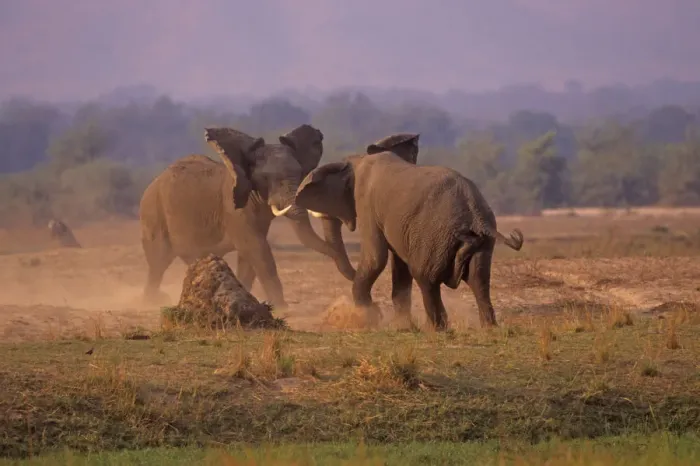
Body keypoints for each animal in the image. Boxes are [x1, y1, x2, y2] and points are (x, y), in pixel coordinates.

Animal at [138, 124, 356, 308]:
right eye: (266, 178)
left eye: (300, 172)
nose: (355, 275)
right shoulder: (235, 209)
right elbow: (256, 248)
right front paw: (281, 307)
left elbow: (249, 255)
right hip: (153, 213)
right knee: (158, 261)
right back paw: (152, 301)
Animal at [294, 150, 524, 330]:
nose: (378, 310)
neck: (355, 161)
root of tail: (475, 213)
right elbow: (398, 265)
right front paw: (399, 325)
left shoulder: (367, 205)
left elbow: (376, 257)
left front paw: (369, 318)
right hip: (480, 241)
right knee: (479, 280)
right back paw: (488, 328)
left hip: (437, 236)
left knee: (425, 276)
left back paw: (435, 329)